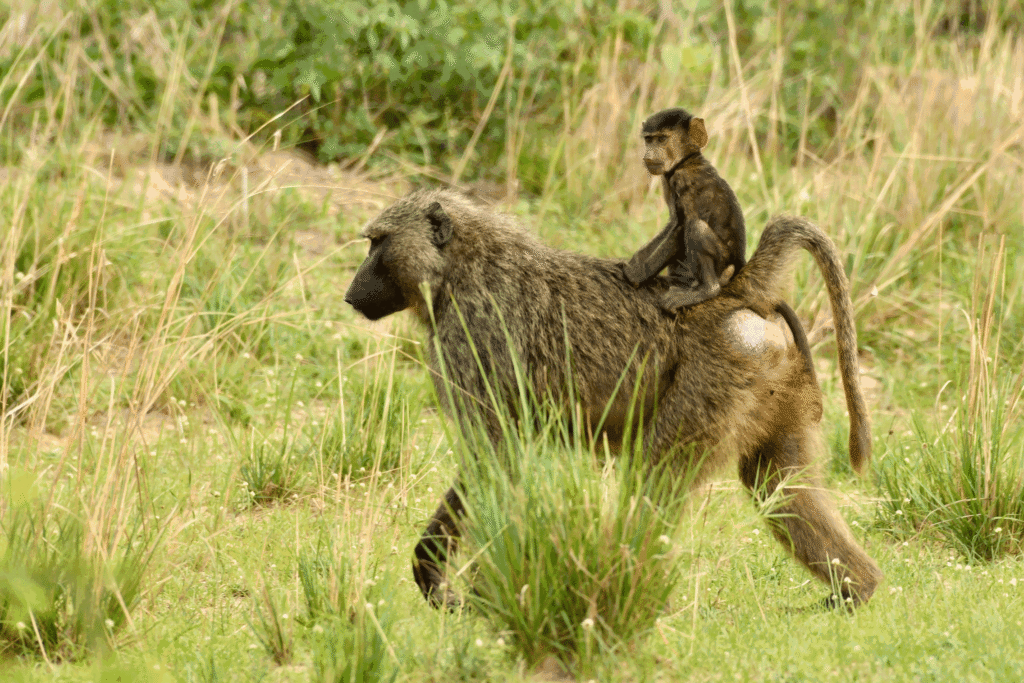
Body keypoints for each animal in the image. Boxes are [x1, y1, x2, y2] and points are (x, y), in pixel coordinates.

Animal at [344, 188, 880, 611]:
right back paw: (856, 590)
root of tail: (735, 295)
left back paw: (614, 585)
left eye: (377, 243)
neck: (461, 267)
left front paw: (450, 584)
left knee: (653, 482)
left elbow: (494, 457)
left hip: (715, 381)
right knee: (780, 489)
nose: (351, 295)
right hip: (774, 385)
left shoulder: (472, 338)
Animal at [625, 107, 816, 379]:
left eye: (662, 139)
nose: (648, 154)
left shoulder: (681, 180)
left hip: (721, 261)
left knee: (696, 228)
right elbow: (672, 223)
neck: (688, 160)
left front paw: (635, 276)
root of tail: (738, 264)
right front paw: (633, 265)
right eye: (649, 140)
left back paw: (706, 290)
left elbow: (680, 227)